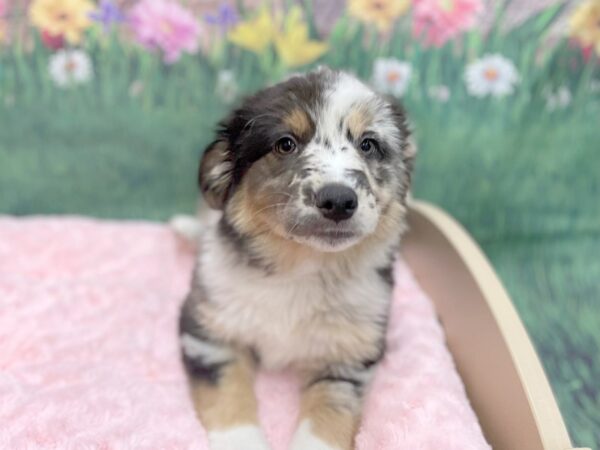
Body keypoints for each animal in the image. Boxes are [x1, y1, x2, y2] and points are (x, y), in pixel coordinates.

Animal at [176, 67, 414, 450]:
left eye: (368, 145)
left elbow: (327, 418)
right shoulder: (209, 333)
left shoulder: (347, 360)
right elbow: (229, 399)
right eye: (285, 143)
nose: (338, 200)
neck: (300, 268)